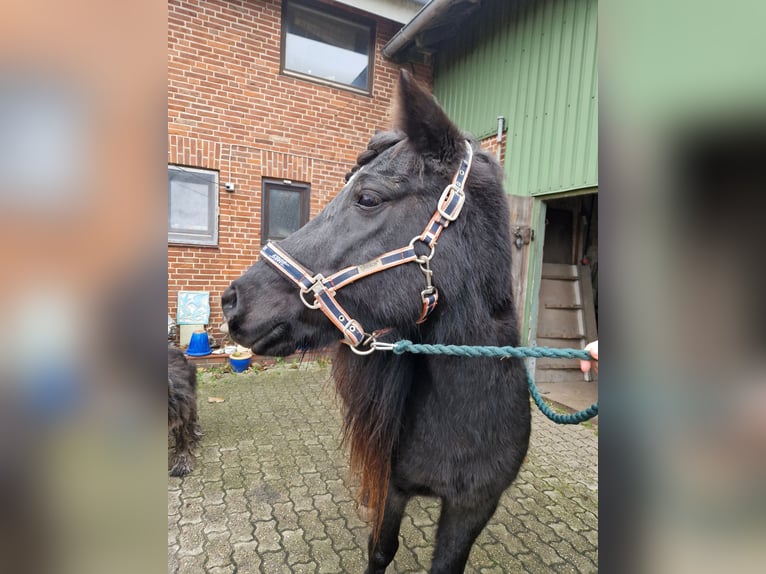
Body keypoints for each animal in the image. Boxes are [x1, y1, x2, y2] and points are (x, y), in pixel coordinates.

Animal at [222, 70, 530, 573]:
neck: (464, 418)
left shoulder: (474, 506)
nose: (232, 301)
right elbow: (381, 548)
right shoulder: (394, 488)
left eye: (367, 197)